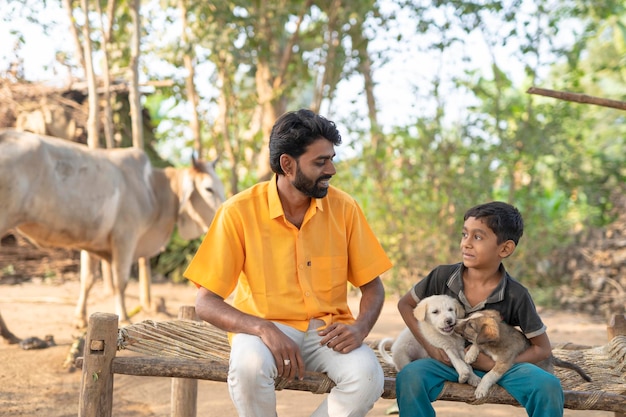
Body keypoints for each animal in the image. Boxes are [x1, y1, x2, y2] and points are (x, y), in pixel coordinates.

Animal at [0, 128, 224, 336]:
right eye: (208, 189)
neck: (154, 188)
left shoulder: (90, 242)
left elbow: (87, 280)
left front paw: (80, 319)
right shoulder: (125, 238)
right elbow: (120, 281)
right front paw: (124, 316)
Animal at [450, 308, 588, 398]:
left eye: (470, 325)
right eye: (468, 317)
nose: (454, 322)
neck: (493, 345)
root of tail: (551, 356)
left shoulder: (503, 363)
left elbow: (489, 375)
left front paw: (481, 389)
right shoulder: (484, 345)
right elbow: (477, 343)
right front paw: (470, 355)